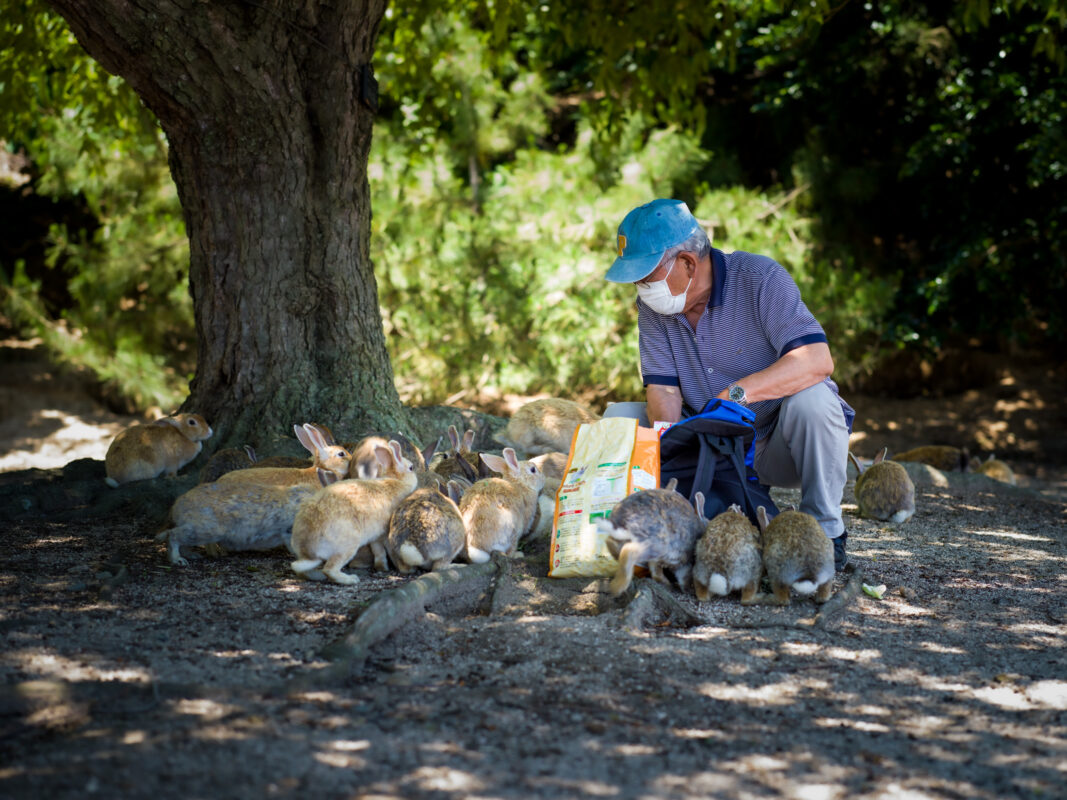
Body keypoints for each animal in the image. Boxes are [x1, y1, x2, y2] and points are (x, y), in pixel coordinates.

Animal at [290, 439, 418, 584]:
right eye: (411, 468)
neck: (397, 481)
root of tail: (308, 550)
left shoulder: (376, 536)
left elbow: (378, 550)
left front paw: (382, 567)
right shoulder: (386, 532)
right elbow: (391, 550)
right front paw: (406, 569)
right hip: (348, 545)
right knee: (329, 569)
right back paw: (351, 579)